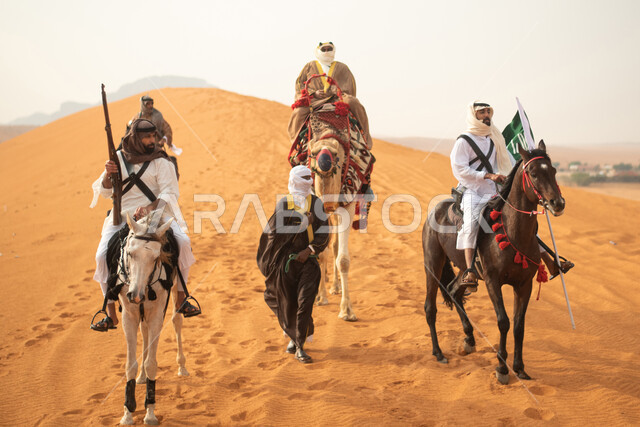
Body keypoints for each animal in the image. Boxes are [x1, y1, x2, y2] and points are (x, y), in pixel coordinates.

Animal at [116, 211, 188, 425]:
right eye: (130, 253)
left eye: (156, 257)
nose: (136, 295)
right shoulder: (129, 315)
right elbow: (130, 364)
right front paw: (127, 413)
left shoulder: (157, 314)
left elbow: (152, 364)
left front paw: (149, 413)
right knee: (145, 332)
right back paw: (141, 377)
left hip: (176, 289)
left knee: (177, 320)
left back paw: (182, 367)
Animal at [422, 141, 564, 384]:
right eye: (533, 173)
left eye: (554, 171)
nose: (558, 203)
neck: (513, 233)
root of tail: (436, 210)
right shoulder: (492, 281)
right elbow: (503, 321)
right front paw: (502, 368)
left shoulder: (524, 284)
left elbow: (519, 325)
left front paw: (519, 368)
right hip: (433, 263)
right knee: (430, 307)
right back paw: (438, 353)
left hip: (464, 271)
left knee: (454, 291)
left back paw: (469, 338)